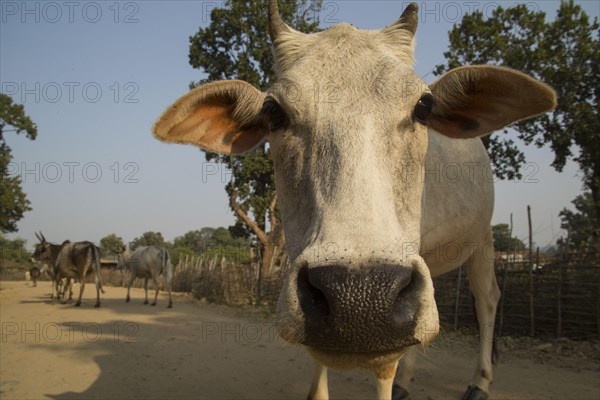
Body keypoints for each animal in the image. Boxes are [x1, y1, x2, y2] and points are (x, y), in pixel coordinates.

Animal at [151, 1, 556, 398]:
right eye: (274, 111)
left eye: (423, 107)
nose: (357, 300)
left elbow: (386, 365)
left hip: (483, 238)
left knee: (487, 299)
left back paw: (479, 383)